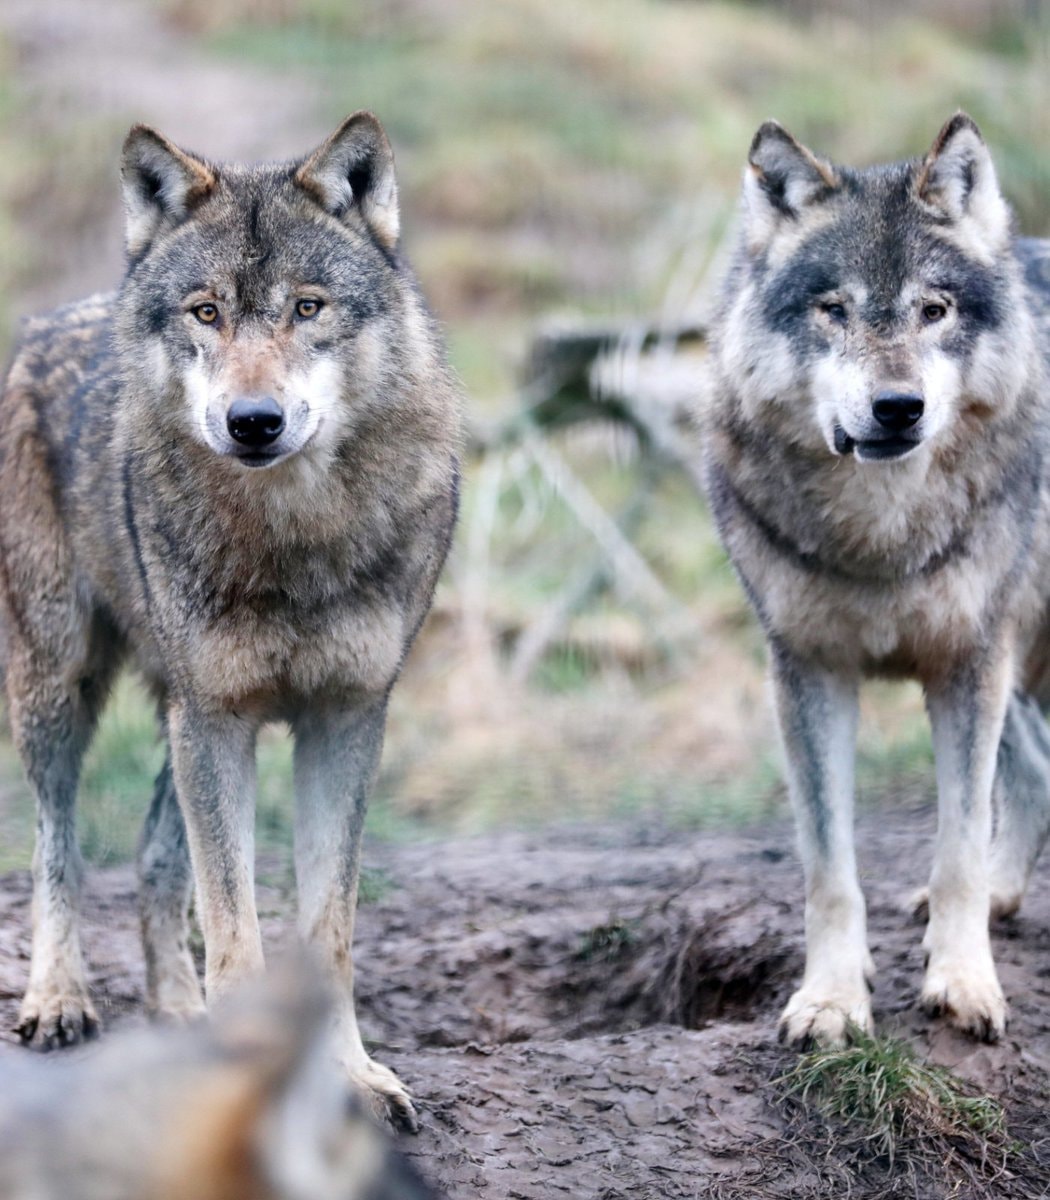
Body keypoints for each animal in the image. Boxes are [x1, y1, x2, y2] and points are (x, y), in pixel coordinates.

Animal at [0, 113, 461, 1125]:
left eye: (308, 309)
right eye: (205, 313)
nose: (254, 421)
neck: (294, 538)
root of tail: (47, 319)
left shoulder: (341, 721)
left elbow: (326, 933)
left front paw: (354, 1078)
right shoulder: (217, 719)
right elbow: (236, 929)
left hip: (178, 709)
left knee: (150, 860)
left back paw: (177, 1017)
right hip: (63, 689)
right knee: (59, 846)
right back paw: (58, 1000)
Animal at [704, 112, 1050, 1047]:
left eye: (934, 310)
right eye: (835, 310)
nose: (899, 408)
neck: (883, 536)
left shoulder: (970, 664)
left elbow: (958, 846)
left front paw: (963, 984)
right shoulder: (809, 672)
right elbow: (830, 870)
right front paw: (831, 1000)